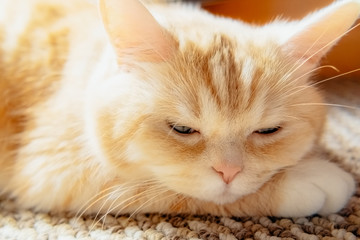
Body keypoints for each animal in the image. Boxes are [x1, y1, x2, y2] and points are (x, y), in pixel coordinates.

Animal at [0, 0, 358, 218]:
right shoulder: (52, 168)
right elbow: (170, 191)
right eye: (182, 129)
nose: (229, 171)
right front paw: (303, 179)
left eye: (268, 130)